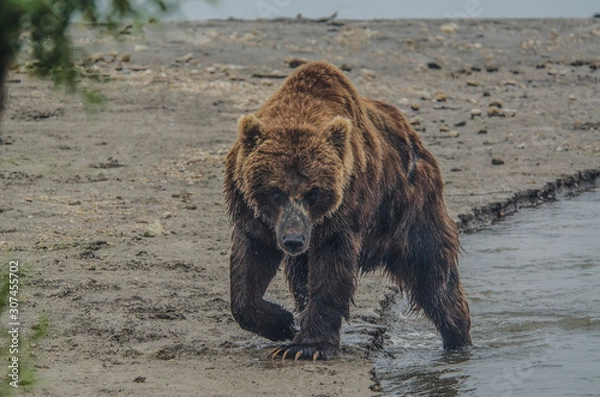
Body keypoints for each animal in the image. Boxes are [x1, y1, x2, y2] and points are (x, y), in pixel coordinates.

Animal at [223, 61, 472, 358]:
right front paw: (282, 323)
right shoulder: (252, 213)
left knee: (433, 271)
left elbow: (332, 269)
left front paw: (306, 346)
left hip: (411, 206)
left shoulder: (345, 209)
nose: (293, 240)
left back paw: (458, 338)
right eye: (275, 192)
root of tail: (414, 137)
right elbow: (249, 266)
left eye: (313, 192)